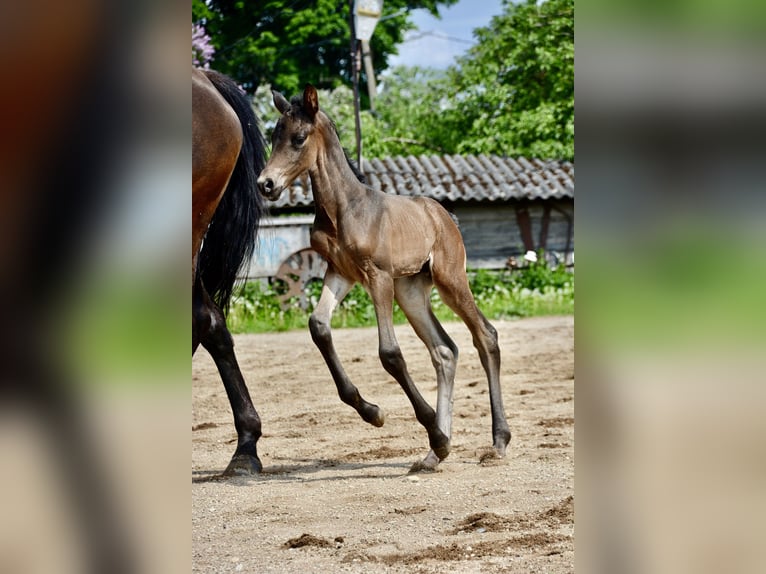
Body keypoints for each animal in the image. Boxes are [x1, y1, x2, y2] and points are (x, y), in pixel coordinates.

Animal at [256, 85, 510, 472]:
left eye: (298, 138)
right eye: (273, 137)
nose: (265, 184)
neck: (345, 209)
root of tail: (444, 215)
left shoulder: (377, 276)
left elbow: (389, 352)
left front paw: (425, 427)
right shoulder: (340, 272)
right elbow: (318, 326)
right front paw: (374, 413)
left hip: (449, 279)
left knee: (486, 335)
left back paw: (497, 442)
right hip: (411, 291)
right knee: (444, 350)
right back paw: (435, 454)